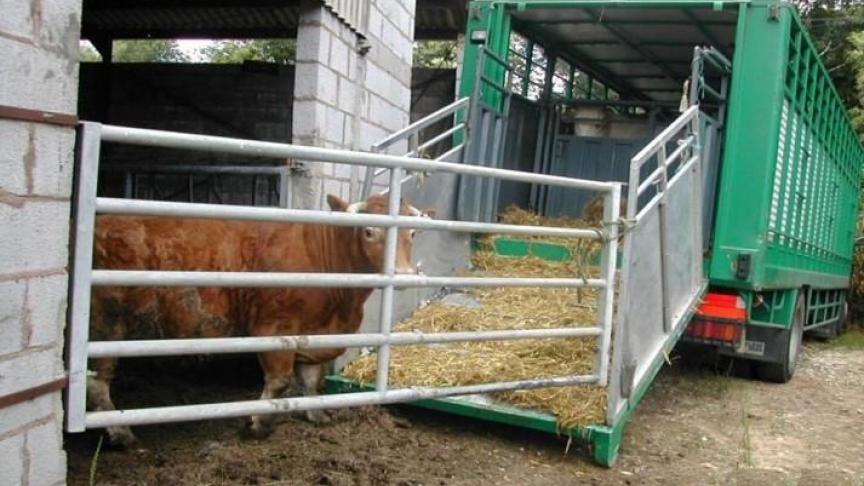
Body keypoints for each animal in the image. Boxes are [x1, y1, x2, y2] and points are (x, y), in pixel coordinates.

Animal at [89, 193, 432, 448]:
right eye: (369, 231)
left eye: (413, 233)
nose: (403, 274)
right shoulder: (275, 326)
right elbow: (279, 382)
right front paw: (258, 424)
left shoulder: (318, 335)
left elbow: (311, 380)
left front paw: (316, 416)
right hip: (106, 324)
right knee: (98, 381)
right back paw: (122, 434)